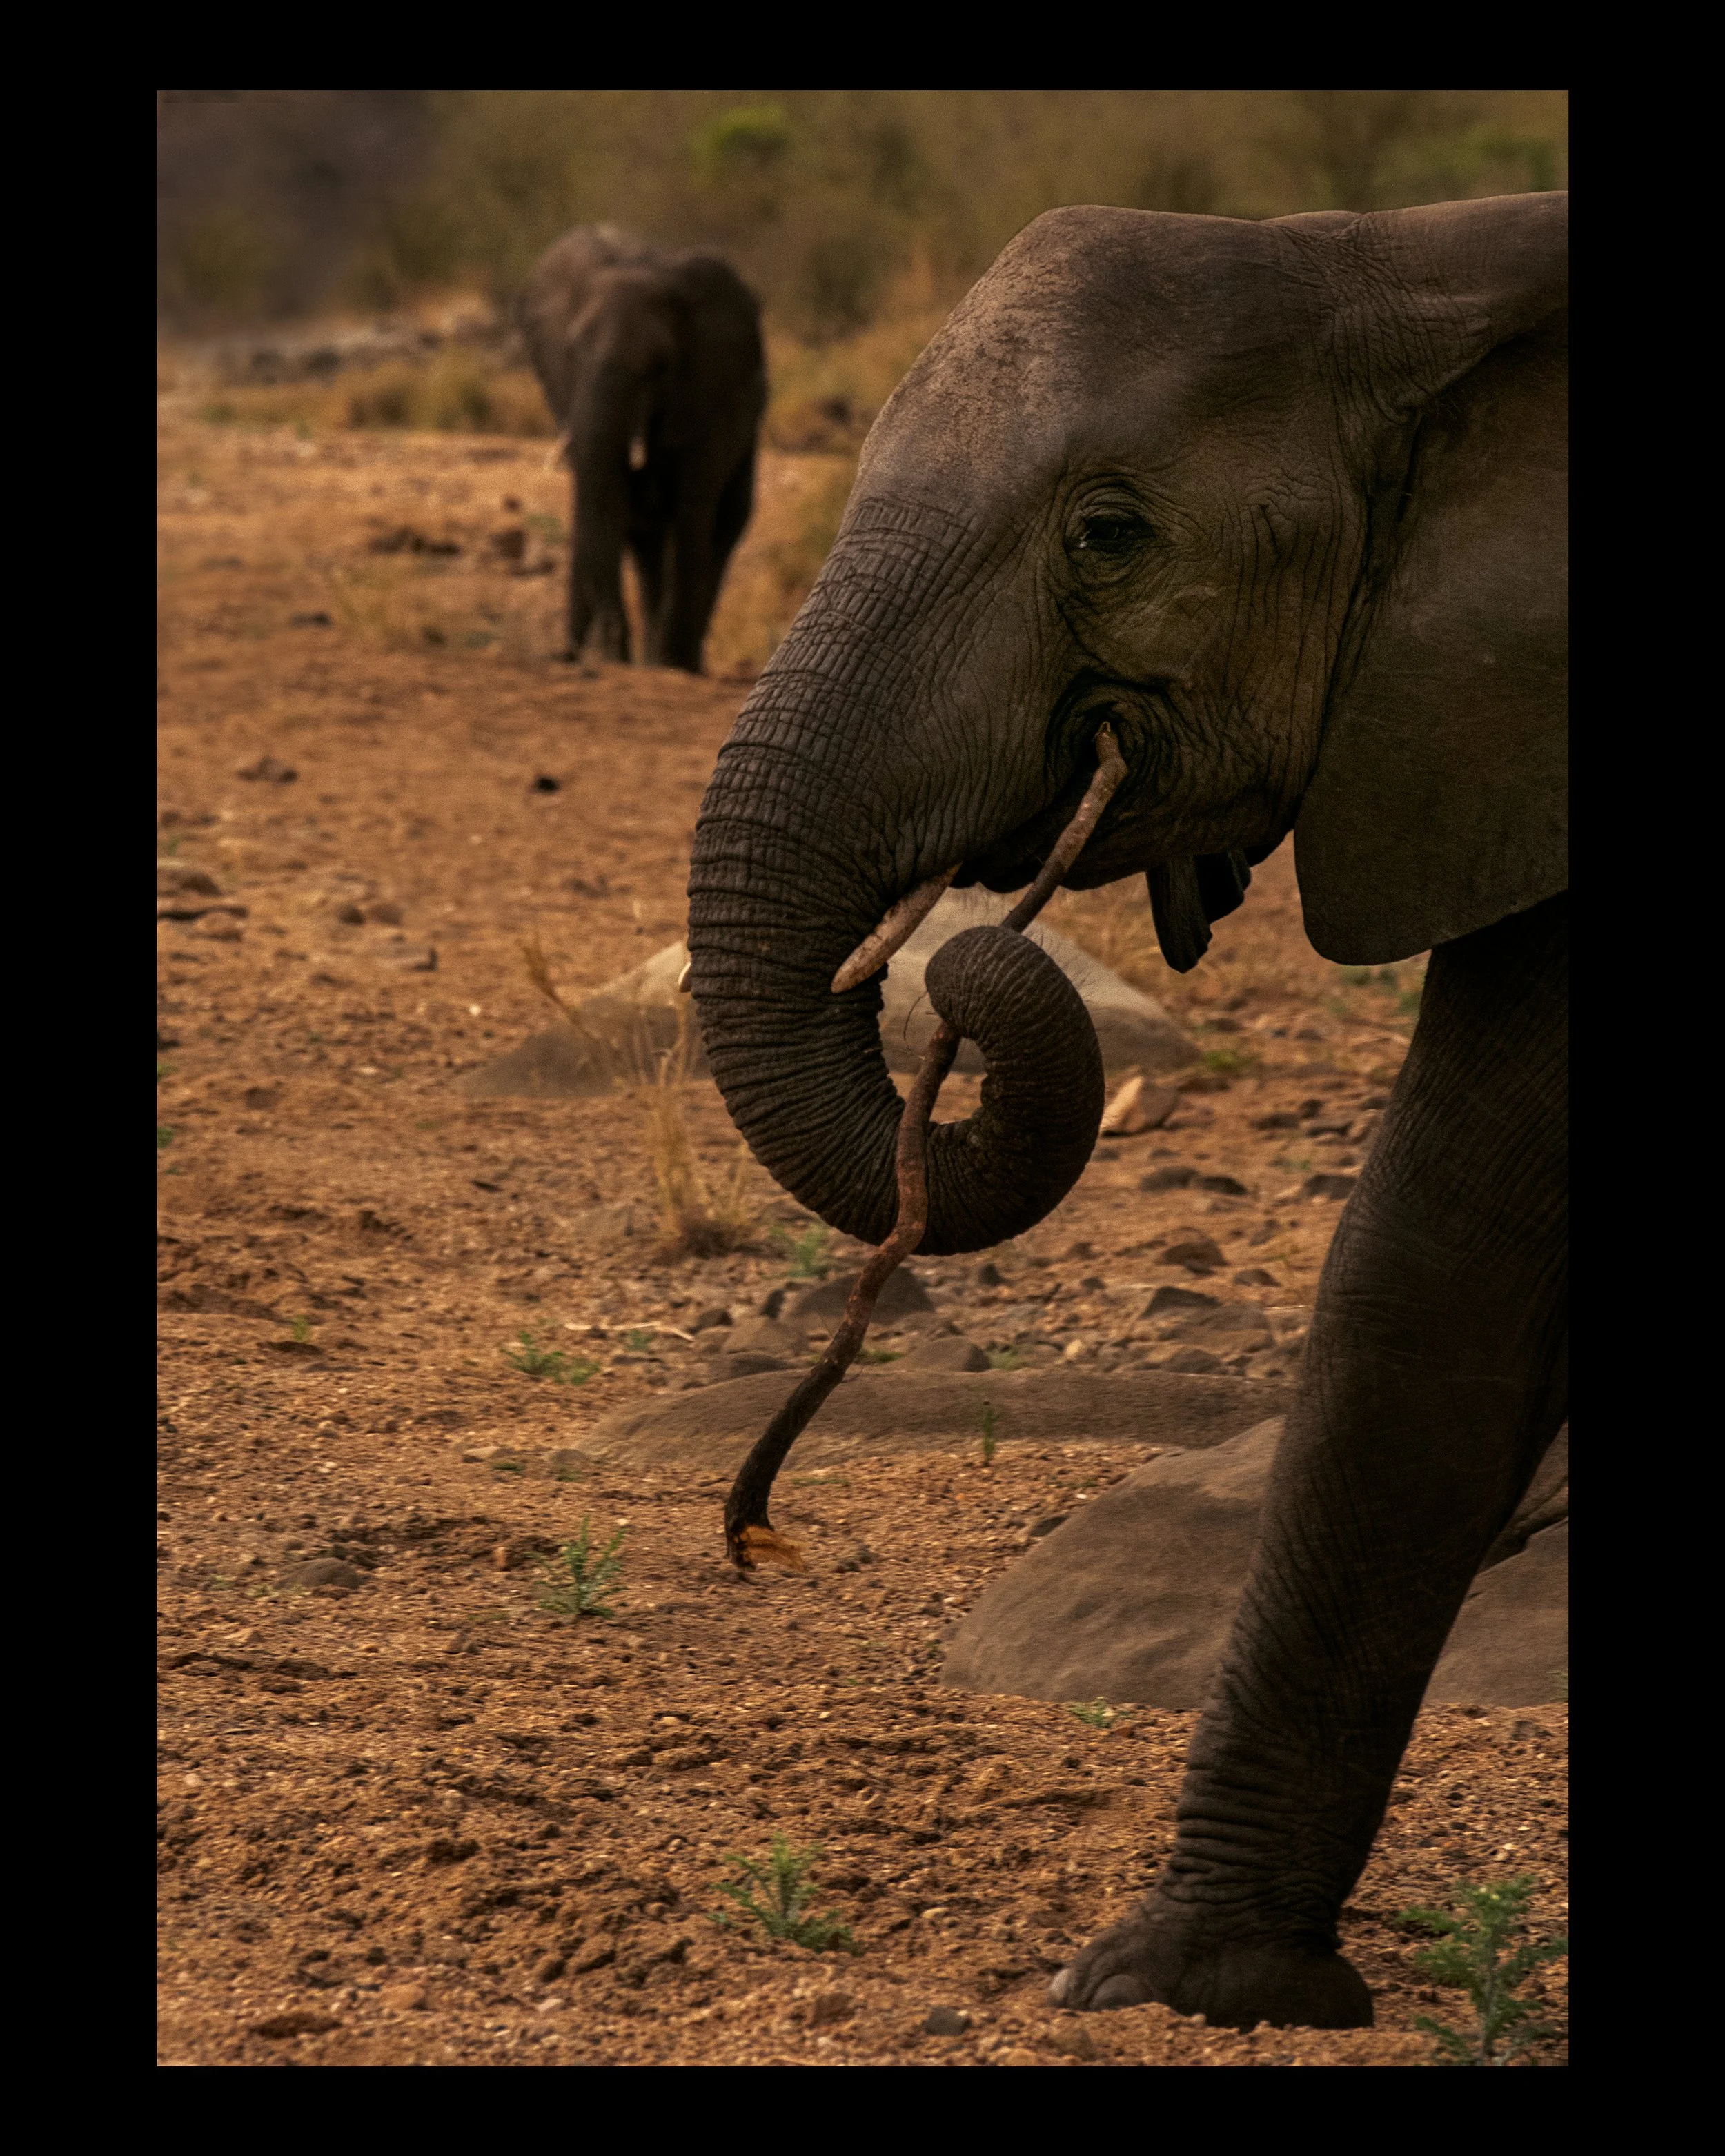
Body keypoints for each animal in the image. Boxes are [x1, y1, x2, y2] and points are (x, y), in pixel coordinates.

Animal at [520, 227, 766, 674]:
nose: (578, 652)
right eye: (574, 352)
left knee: (724, 524)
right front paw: (613, 656)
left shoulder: (708, 398)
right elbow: (612, 501)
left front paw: (669, 663)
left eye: (659, 368)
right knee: (645, 536)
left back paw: (677, 661)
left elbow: (691, 510)